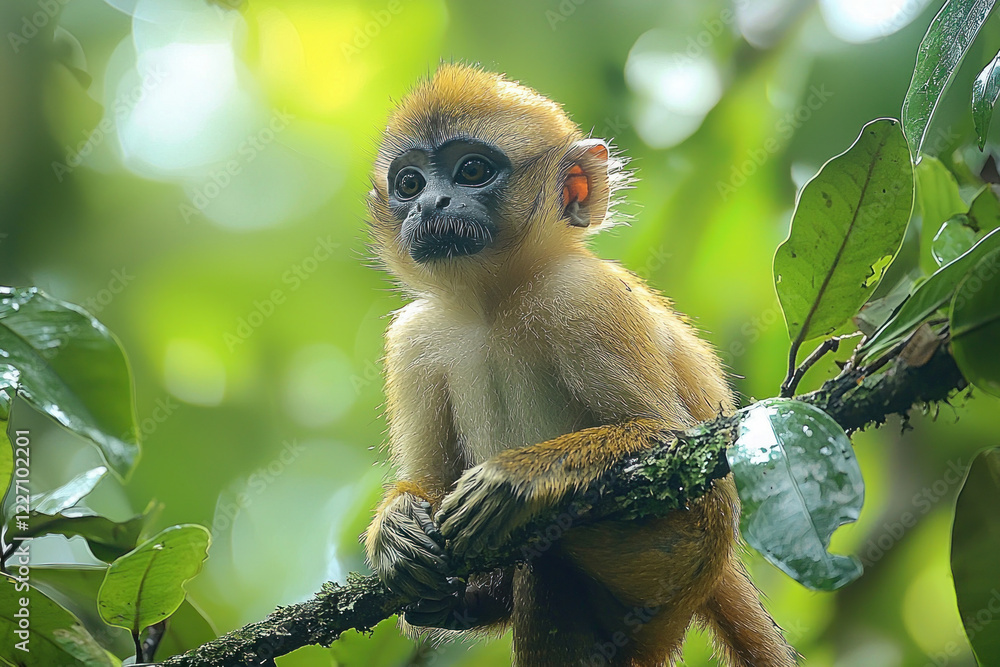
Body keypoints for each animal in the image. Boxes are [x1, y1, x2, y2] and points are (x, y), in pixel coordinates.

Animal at [363, 64, 797, 667]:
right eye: (409, 184)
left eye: (472, 170)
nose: (432, 204)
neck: (494, 303)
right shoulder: (412, 337)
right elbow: (429, 483)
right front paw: (394, 527)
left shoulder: (585, 296)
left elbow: (668, 437)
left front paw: (516, 479)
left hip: (678, 547)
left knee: (549, 561)